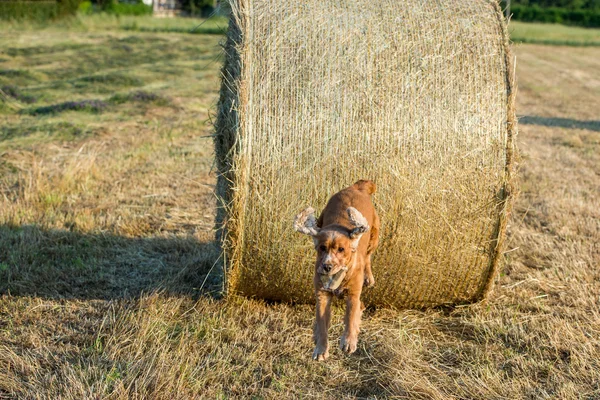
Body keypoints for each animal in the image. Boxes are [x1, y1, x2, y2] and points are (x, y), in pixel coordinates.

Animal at [294, 180, 380, 360]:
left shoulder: (353, 294)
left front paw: (348, 342)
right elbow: (322, 324)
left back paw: (369, 277)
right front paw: (321, 349)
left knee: (368, 256)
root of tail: (357, 187)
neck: (338, 277)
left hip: (375, 235)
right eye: (322, 248)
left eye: (341, 249)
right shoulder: (322, 295)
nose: (327, 266)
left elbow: (351, 315)